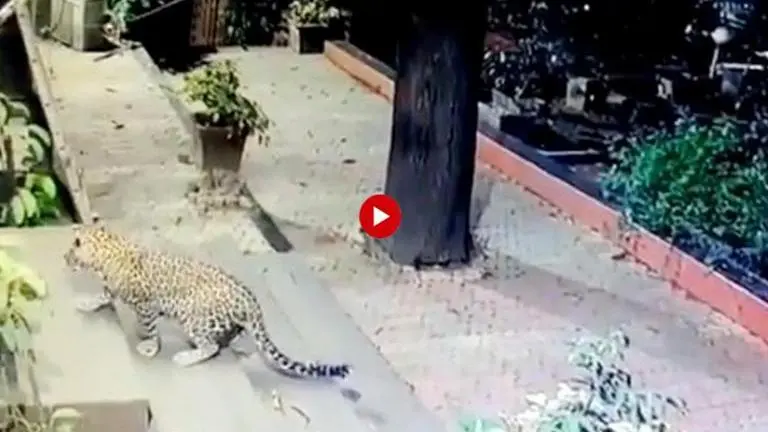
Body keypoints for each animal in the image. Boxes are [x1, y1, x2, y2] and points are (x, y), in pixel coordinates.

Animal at [64, 223, 351, 379]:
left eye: (70, 252)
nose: (64, 259)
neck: (107, 254)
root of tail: (250, 300)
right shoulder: (112, 289)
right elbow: (103, 295)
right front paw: (87, 303)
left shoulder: (146, 305)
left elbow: (150, 328)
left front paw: (149, 346)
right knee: (231, 335)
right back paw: (237, 344)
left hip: (194, 317)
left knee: (210, 347)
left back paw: (187, 357)